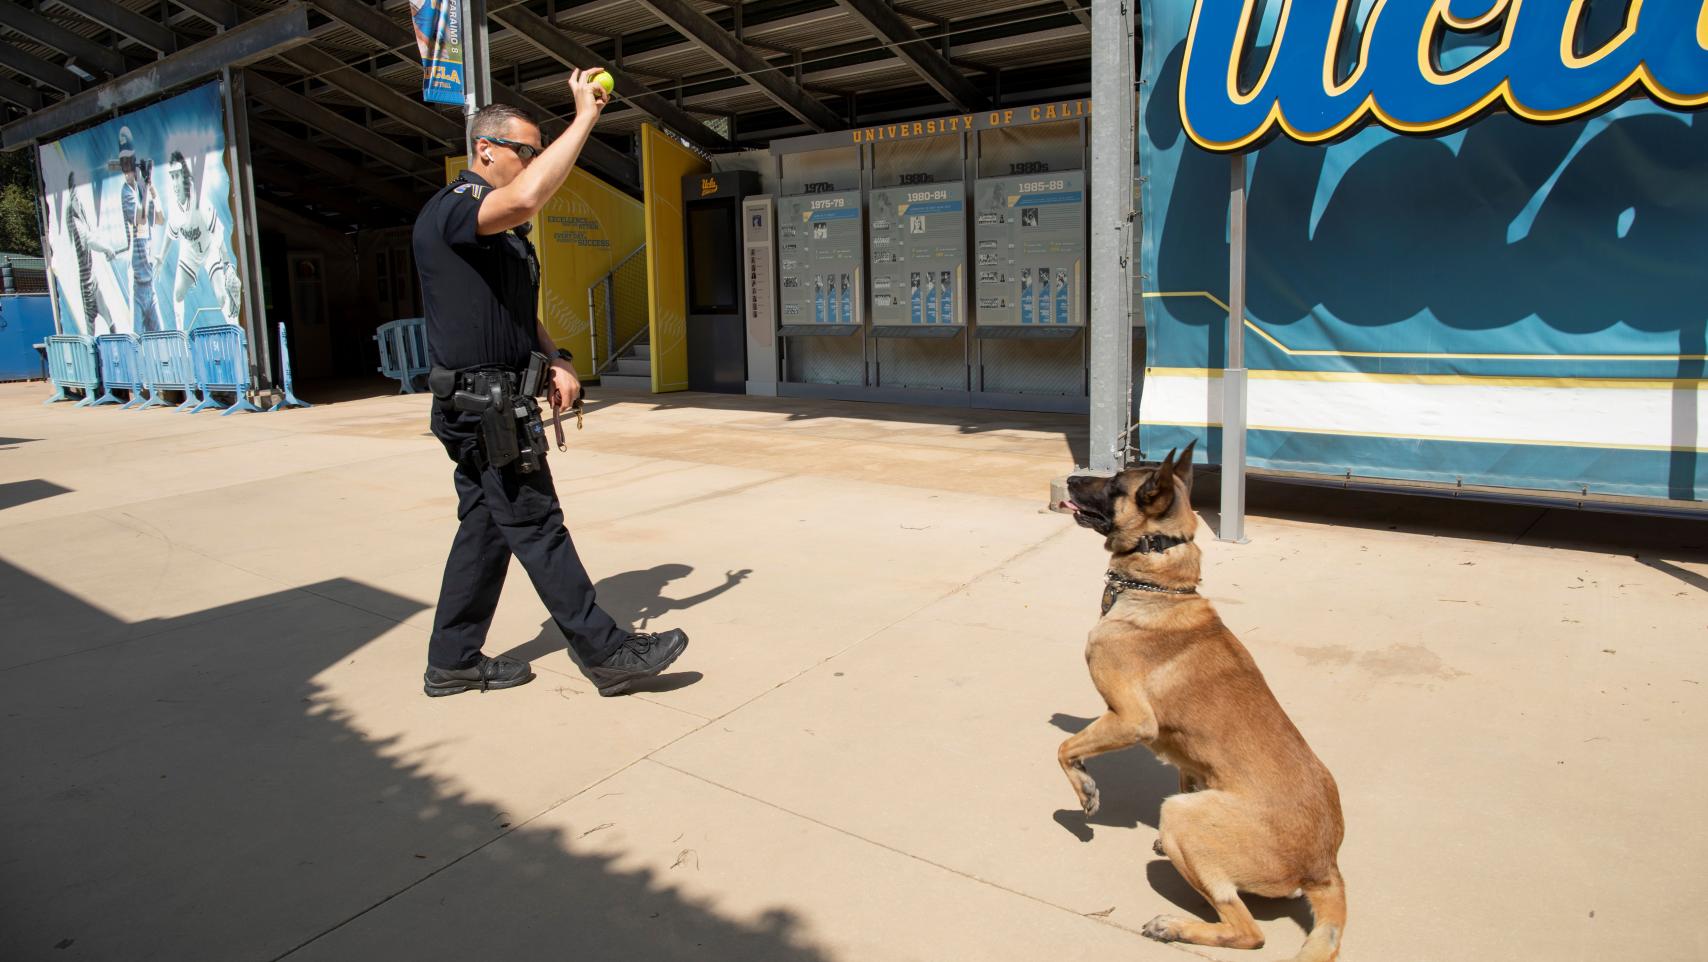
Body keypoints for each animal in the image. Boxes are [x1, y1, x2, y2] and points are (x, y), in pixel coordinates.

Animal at [1052, 447, 1345, 962]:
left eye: (1115, 484)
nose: (1070, 478)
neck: (1158, 588)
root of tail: (1325, 866)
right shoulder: (1181, 758)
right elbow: (1178, 769)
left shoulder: (1131, 720)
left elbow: (1064, 749)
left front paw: (1085, 792)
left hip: (1180, 816)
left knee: (1250, 933)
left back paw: (1175, 926)